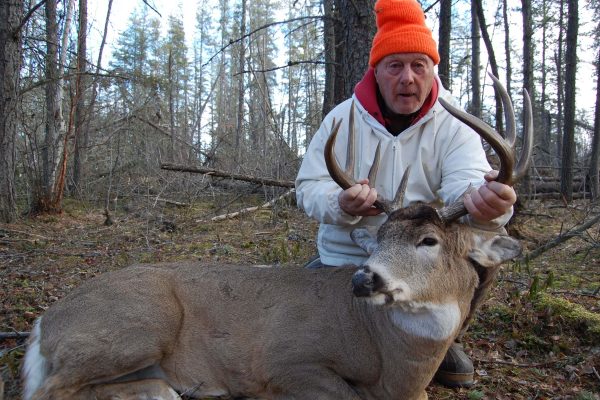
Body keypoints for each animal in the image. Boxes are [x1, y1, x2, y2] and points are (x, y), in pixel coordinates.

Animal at [21, 76, 532, 400]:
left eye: (428, 241)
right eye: (381, 235)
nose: (363, 279)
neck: (395, 367)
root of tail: (44, 321)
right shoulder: (287, 360)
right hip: (138, 323)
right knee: (48, 391)